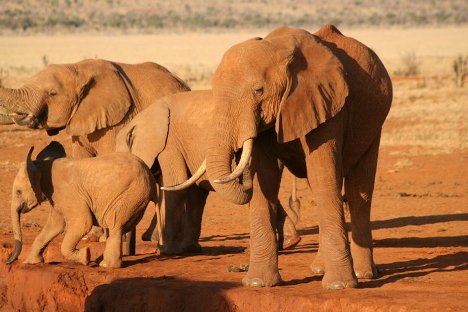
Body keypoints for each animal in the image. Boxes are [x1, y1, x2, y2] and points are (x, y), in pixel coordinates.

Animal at [7, 144, 156, 268]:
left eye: (18, 192)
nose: (8, 261)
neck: (41, 165)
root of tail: (149, 174)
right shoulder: (57, 197)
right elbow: (56, 225)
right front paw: (31, 262)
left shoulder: (67, 192)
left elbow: (82, 223)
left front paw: (85, 256)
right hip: (136, 197)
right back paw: (103, 262)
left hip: (131, 193)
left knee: (115, 223)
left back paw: (106, 265)